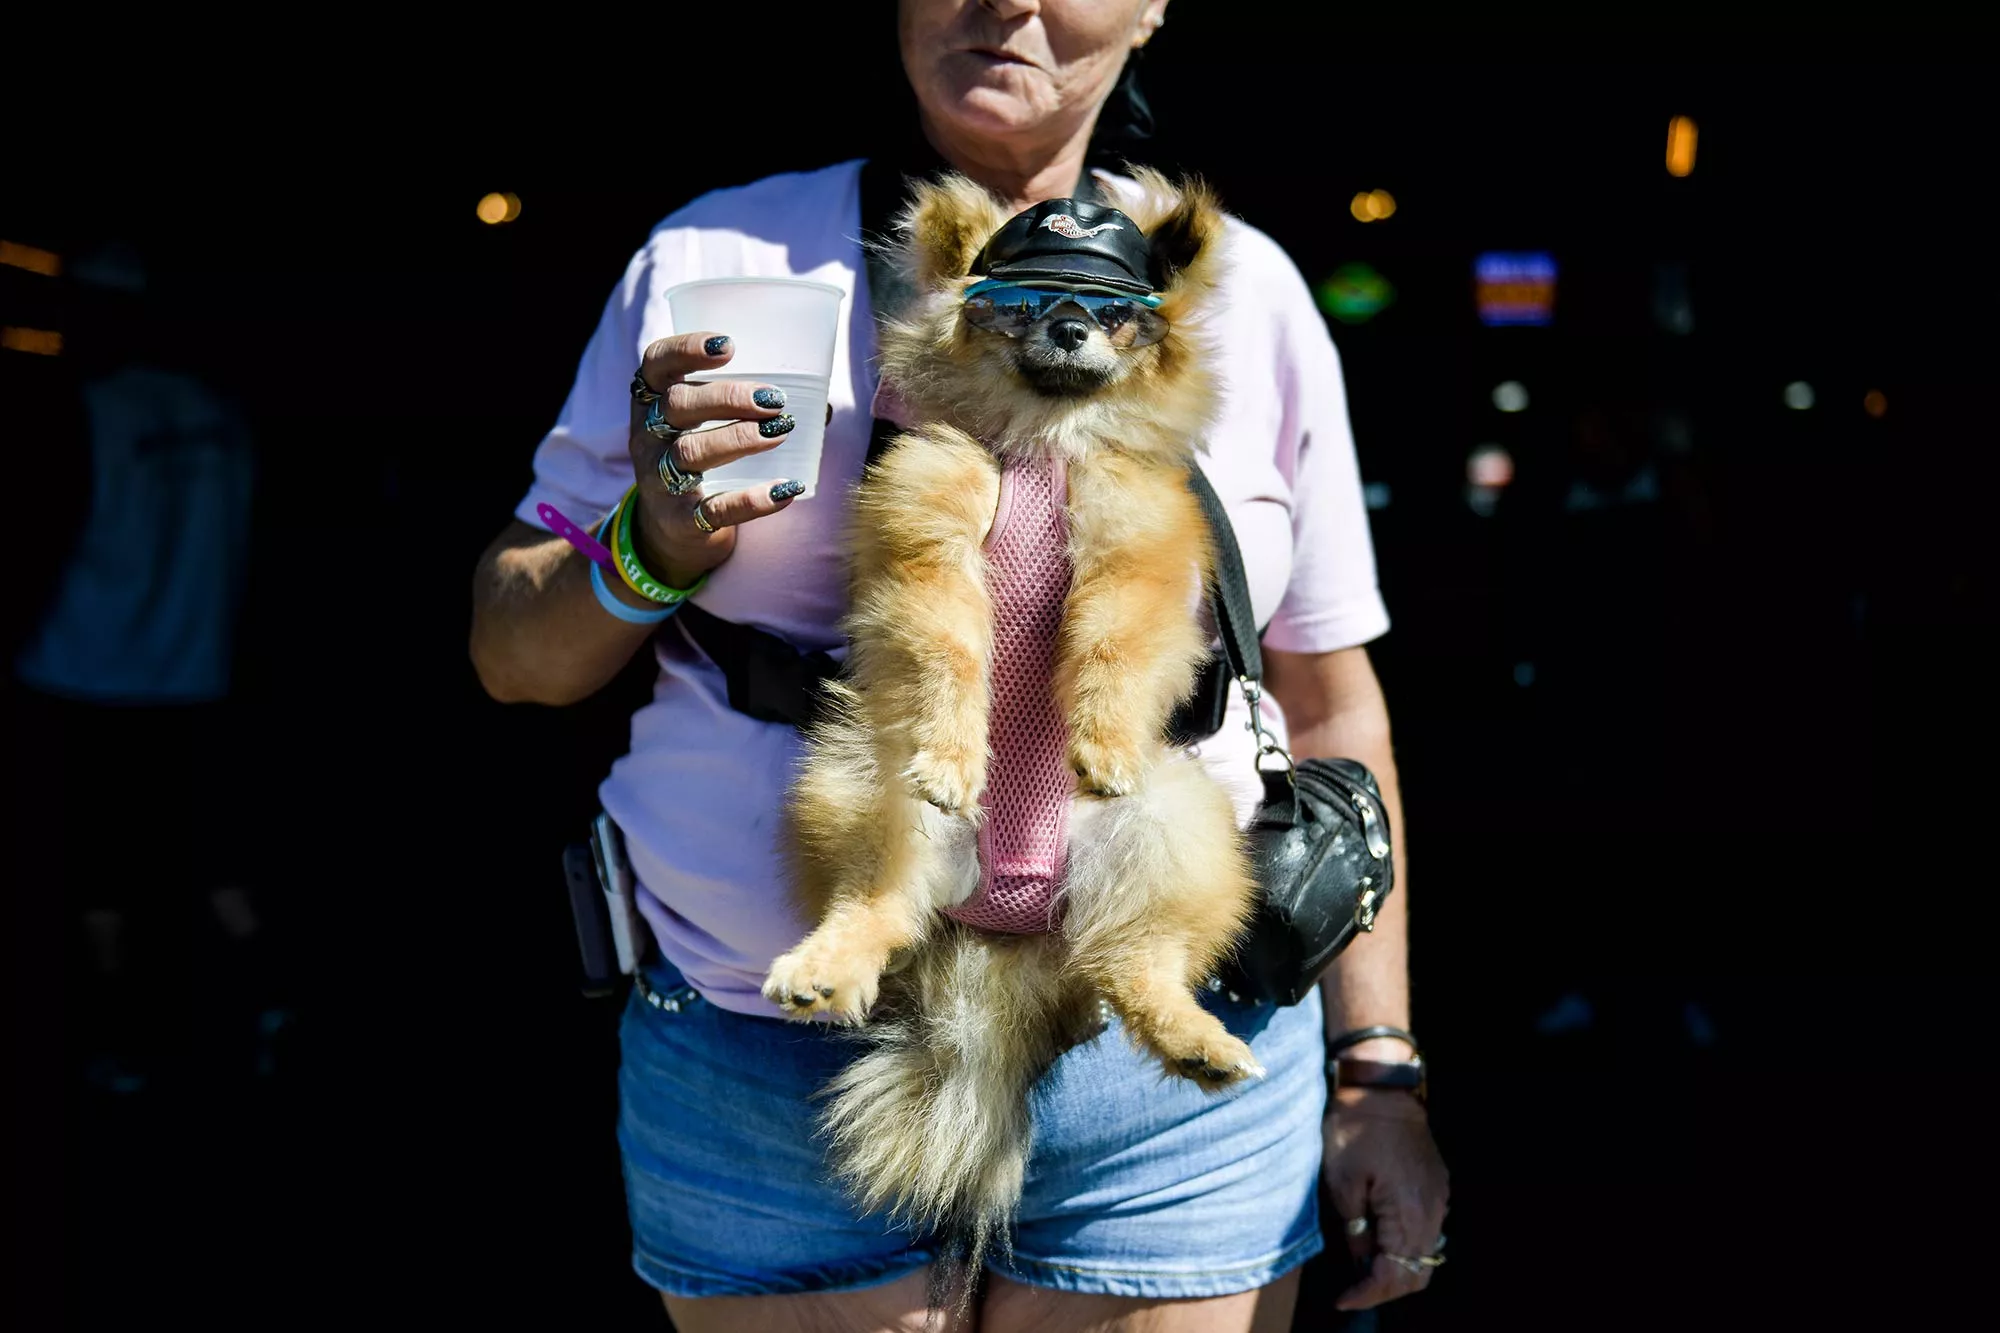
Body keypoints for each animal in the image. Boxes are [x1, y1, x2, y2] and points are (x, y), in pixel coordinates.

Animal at [760, 171, 1248, 1280]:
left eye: (1114, 312)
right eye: (1020, 303)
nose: (1068, 324)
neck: (1042, 445)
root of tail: (998, 931)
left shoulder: (1134, 558)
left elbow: (1110, 648)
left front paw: (1098, 743)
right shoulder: (932, 541)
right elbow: (950, 652)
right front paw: (956, 751)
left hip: (1173, 827)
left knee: (1135, 961)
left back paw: (1193, 1039)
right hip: (862, 782)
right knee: (877, 905)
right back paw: (824, 967)